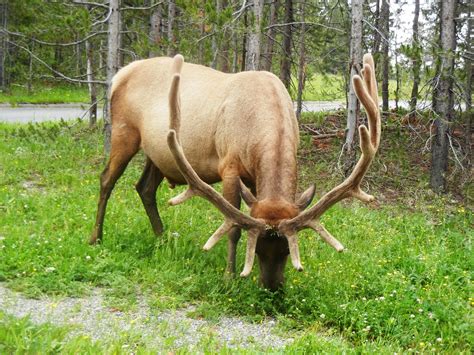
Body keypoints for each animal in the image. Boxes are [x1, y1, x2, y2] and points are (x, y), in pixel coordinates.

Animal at [90, 53, 382, 292]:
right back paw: (96, 238)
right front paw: (229, 276)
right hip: (124, 132)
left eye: (287, 251)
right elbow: (233, 227)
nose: (272, 287)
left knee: (145, 187)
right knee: (106, 179)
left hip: (159, 152)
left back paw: (163, 239)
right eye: (259, 250)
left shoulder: (255, 180)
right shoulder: (229, 166)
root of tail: (120, 74)